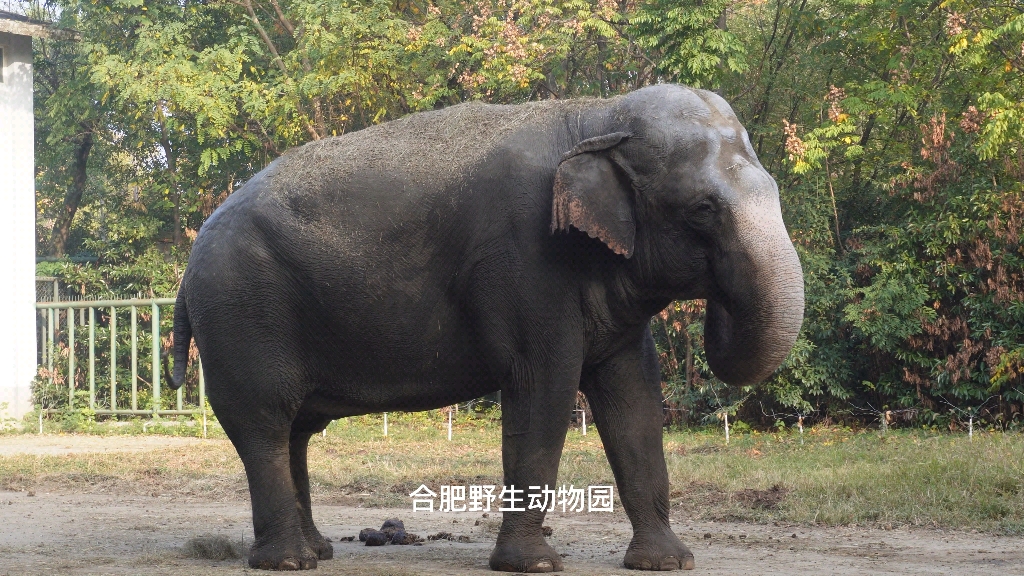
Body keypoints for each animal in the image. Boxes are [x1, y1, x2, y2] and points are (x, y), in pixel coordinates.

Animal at [167, 84, 802, 569]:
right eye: (702, 210)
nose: (717, 311)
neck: (595, 116)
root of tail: (190, 260)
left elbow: (635, 401)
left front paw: (669, 563)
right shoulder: (525, 260)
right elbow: (541, 389)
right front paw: (535, 565)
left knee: (296, 428)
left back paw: (319, 551)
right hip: (242, 309)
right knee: (265, 420)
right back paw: (289, 562)